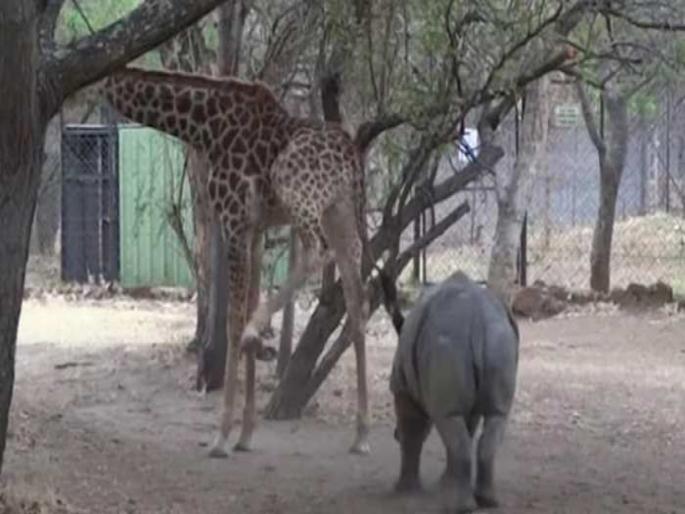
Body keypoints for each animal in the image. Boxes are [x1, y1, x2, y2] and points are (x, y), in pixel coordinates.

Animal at [102, 67, 371, 456]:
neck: (204, 126)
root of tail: (353, 158)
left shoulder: (234, 220)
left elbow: (232, 322)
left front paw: (221, 436)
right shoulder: (256, 229)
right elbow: (247, 303)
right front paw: (245, 434)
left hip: (298, 190)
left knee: (316, 250)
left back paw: (256, 332)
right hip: (342, 212)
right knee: (356, 302)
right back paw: (362, 435)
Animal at [378, 270, 519, 513]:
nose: (393, 434)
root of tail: (477, 318)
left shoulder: (402, 387)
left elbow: (412, 433)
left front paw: (405, 491)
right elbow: (465, 430)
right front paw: (443, 484)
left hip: (448, 340)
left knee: (449, 420)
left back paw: (461, 507)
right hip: (498, 339)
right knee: (494, 417)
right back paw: (487, 502)